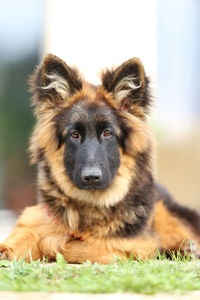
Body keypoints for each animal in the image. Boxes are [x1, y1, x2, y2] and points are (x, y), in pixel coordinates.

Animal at [0, 54, 200, 262]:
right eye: (74, 134)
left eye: (107, 133)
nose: (91, 177)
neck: (91, 204)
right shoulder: (35, 219)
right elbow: (29, 232)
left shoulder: (136, 245)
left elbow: (78, 246)